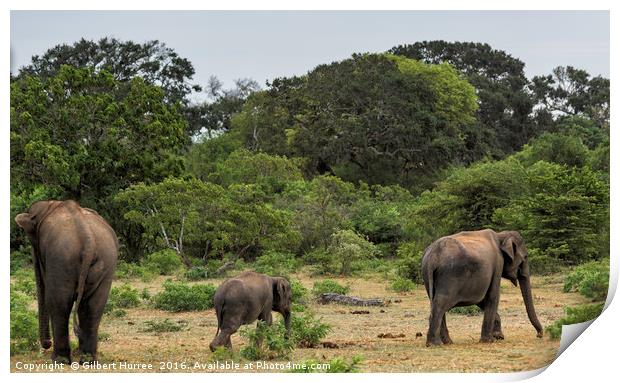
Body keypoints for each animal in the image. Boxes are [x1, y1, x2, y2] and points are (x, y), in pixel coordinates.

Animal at [14, 200, 118, 364]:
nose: (46, 344)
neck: (52, 205)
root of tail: (87, 239)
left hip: (62, 258)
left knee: (58, 303)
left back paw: (60, 359)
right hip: (107, 259)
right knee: (94, 306)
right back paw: (88, 359)